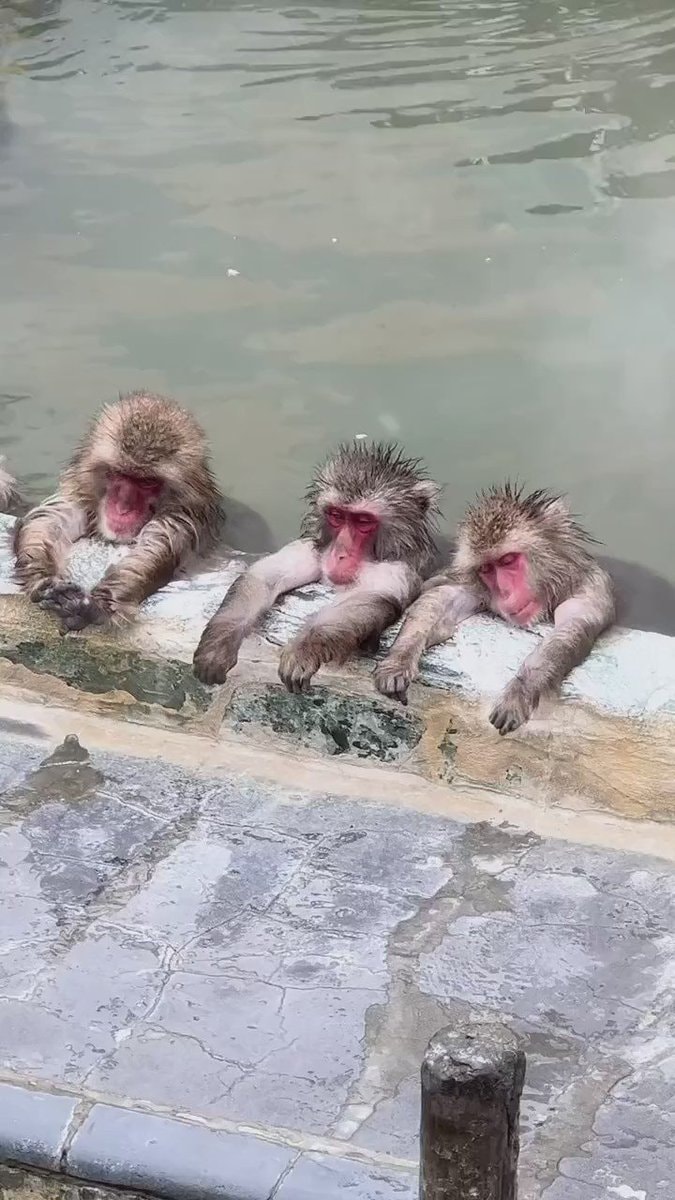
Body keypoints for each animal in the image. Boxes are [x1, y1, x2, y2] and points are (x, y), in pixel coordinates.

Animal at [14, 391, 223, 632]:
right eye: (118, 473)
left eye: (147, 482)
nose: (123, 508)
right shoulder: (80, 492)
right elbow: (50, 519)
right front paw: (42, 580)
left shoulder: (184, 518)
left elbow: (155, 548)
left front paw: (98, 604)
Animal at [193, 441, 441, 691]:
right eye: (336, 515)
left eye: (363, 521)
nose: (339, 554)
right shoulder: (317, 549)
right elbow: (265, 575)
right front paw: (217, 644)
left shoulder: (398, 567)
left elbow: (371, 594)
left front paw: (303, 649)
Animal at [374, 483, 616, 735]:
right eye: (487, 569)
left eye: (508, 560)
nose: (505, 592)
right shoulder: (475, 584)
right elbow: (442, 599)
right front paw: (398, 661)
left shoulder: (592, 588)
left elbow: (570, 627)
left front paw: (519, 691)